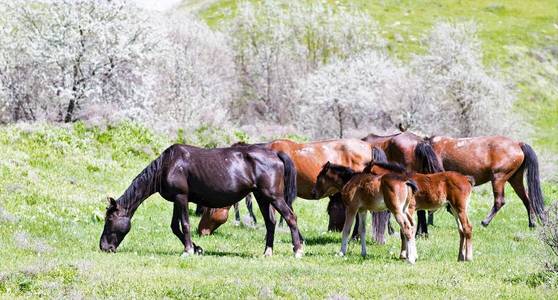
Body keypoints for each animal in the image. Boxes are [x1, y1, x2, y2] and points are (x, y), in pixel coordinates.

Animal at [98, 143, 304, 258]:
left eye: (110, 220)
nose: (104, 247)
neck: (168, 164)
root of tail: (275, 154)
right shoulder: (177, 200)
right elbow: (175, 227)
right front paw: (197, 249)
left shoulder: (181, 197)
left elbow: (185, 225)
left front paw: (188, 250)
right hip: (262, 197)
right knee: (271, 222)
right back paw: (267, 252)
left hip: (274, 197)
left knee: (291, 218)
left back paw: (297, 250)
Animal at [420, 135, 548, 227]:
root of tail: (518, 144)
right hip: (515, 180)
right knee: (527, 199)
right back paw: (532, 223)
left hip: (498, 179)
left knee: (499, 201)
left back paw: (485, 222)